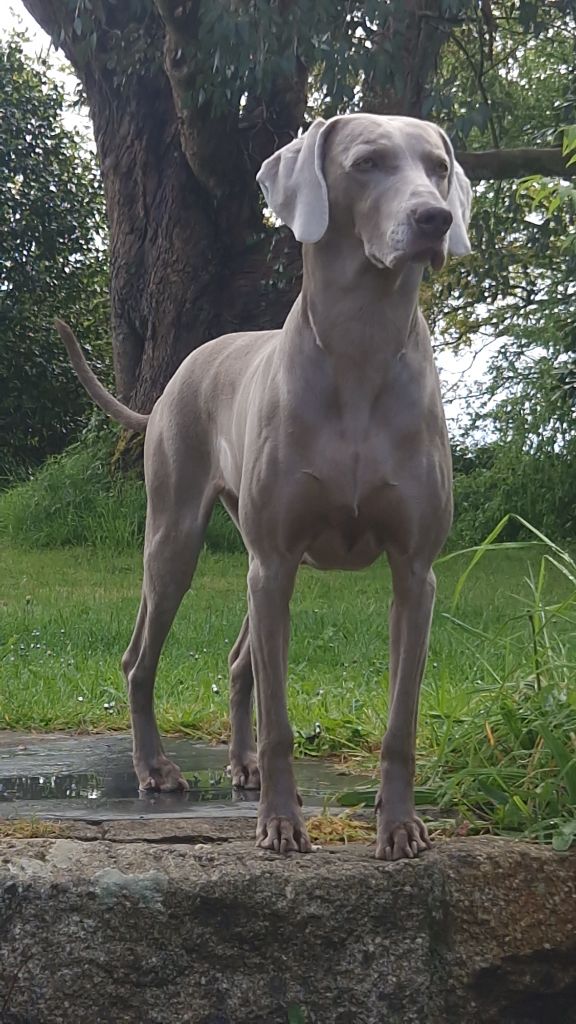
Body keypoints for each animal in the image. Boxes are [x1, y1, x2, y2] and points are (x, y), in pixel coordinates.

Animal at [57, 116, 471, 860]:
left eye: (439, 166)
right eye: (367, 163)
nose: (435, 218)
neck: (360, 349)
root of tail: (168, 387)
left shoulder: (413, 572)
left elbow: (400, 722)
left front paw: (398, 826)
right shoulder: (276, 560)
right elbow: (281, 721)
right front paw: (280, 823)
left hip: (258, 565)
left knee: (239, 659)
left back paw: (242, 765)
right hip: (179, 540)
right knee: (140, 658)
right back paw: (155, 768)